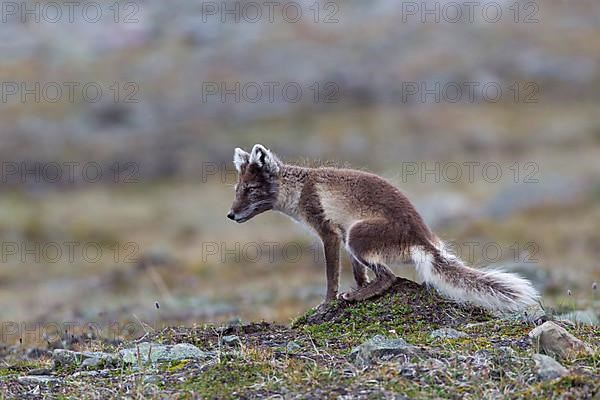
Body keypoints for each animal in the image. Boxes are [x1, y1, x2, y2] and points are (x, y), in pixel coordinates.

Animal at [226, 144, 540, 312]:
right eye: (237, 189)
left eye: (251, 189)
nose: (230, 214)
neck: (300, 189)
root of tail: (423, 239)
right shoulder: (342, 234)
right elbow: (358, 273)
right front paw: (358, 287)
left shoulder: (330, 233)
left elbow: (331, 276)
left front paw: (328, 303)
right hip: (356, 238)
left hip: (358, 236)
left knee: (390, 277)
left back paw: (356, 297)